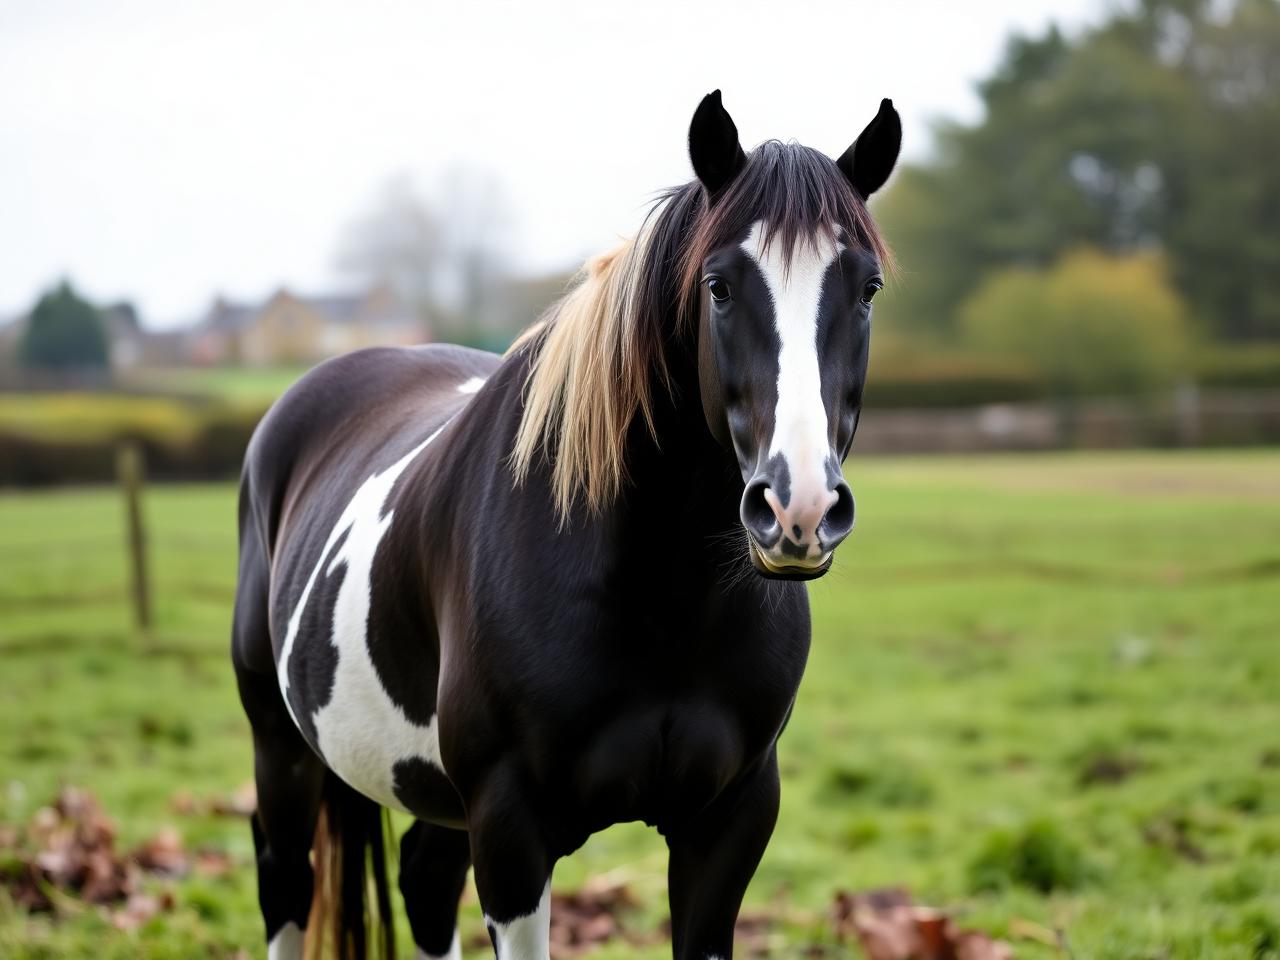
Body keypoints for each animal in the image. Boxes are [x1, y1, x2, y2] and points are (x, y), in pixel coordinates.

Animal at [232, 89, 900, 960]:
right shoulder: (511, 835)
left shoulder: (729, 823)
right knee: (286, 876)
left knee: (424, 883)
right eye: (719, 286)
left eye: (868, 289)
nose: (800, 508)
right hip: (282, 751)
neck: (660, 598)